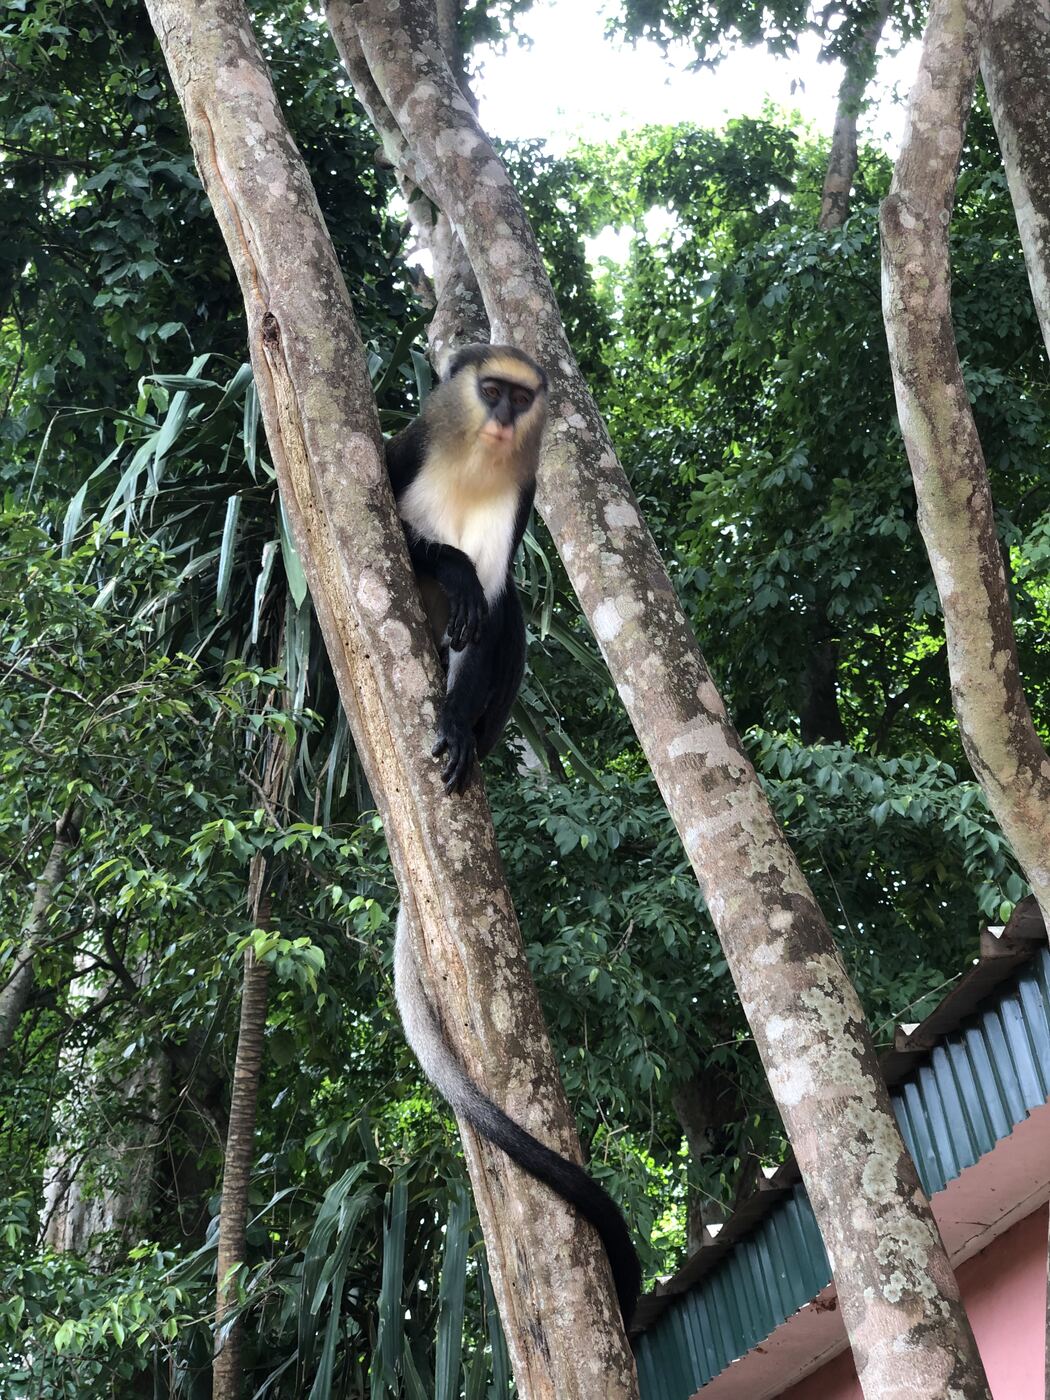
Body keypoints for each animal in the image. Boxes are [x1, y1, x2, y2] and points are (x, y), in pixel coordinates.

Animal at [385, 344, 641, 1328]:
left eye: (520, 397)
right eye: (487, 390)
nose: (500, 417)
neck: (475, 465)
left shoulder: (520, 503)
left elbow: (498, 610)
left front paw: (456, 720)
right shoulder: (405, 451)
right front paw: (450, 567)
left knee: (514, 620)